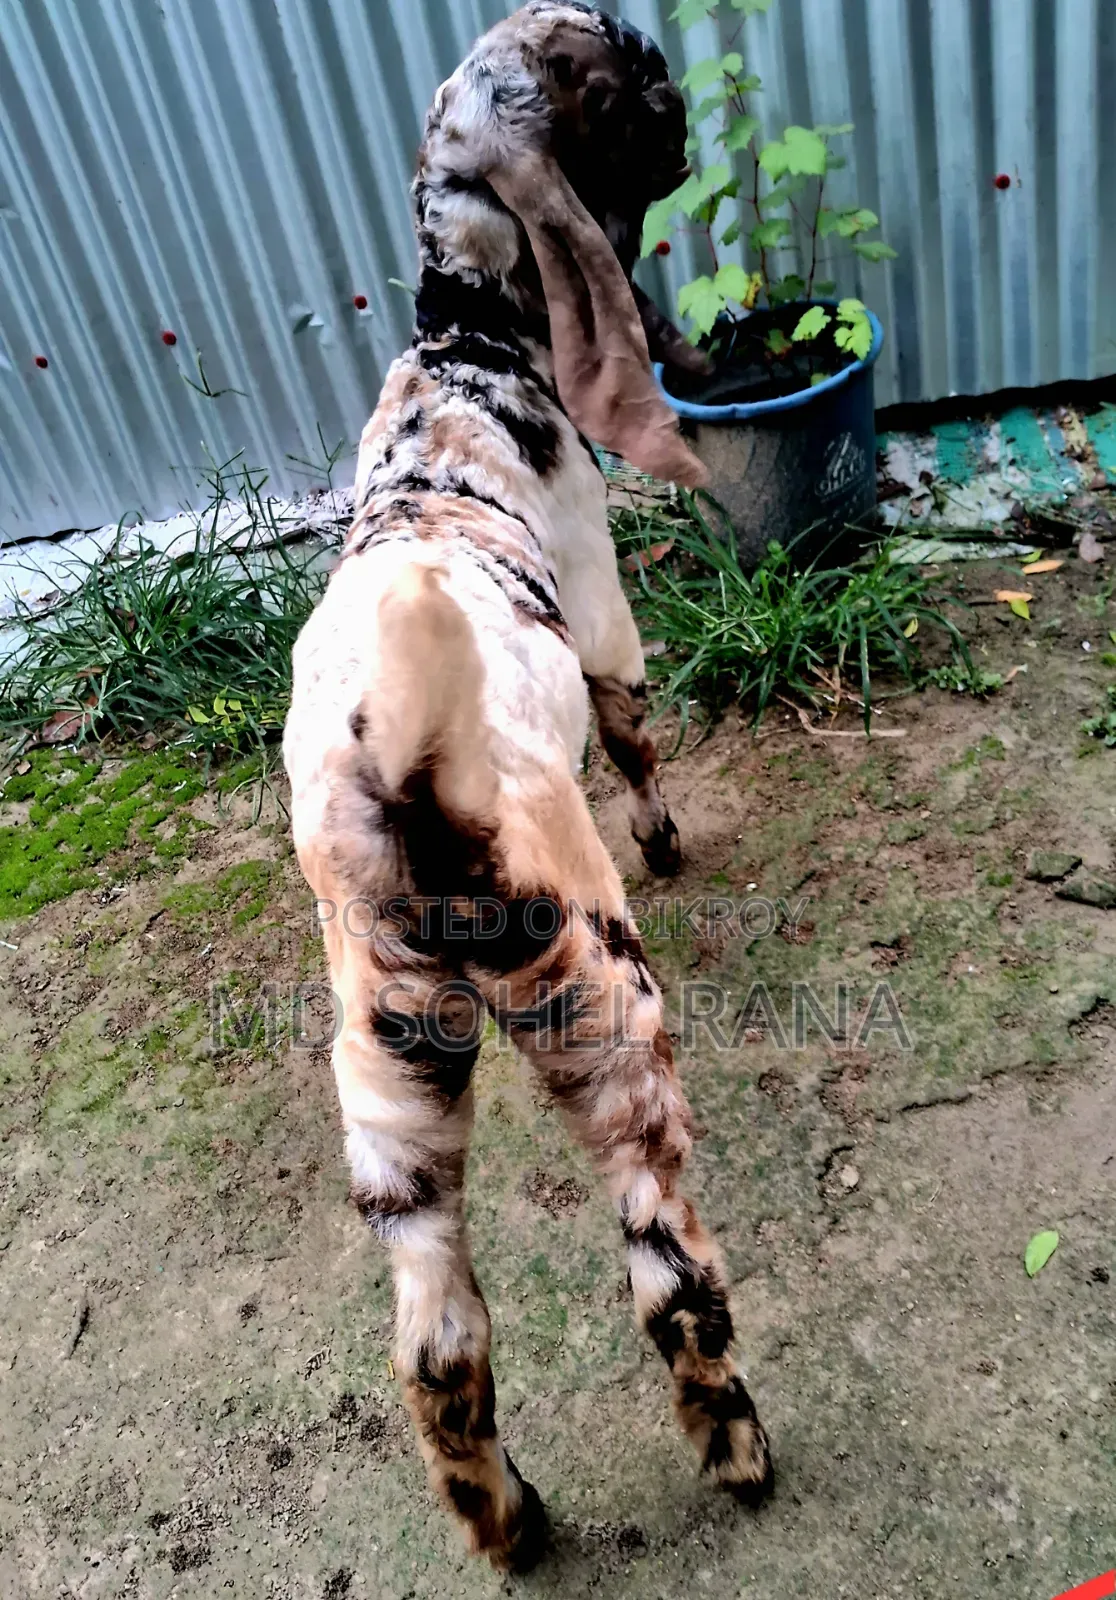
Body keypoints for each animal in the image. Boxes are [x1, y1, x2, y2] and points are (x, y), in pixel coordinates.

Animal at [283, 0, 772, 1569]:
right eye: (604, 75)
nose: (671, 72)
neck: (463, 359)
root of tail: (405, 779)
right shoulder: (607, 604)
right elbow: (636, 733)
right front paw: (671, 840)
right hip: (603, 1010)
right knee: (665, 1268)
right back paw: (738, 1451)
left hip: (391, 1076)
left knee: (437, 1344)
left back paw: (512, 1523)